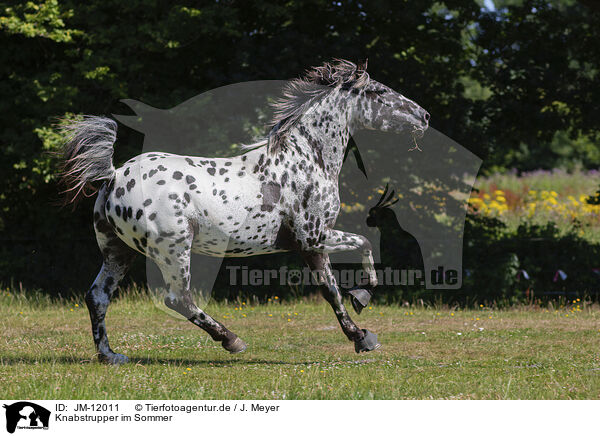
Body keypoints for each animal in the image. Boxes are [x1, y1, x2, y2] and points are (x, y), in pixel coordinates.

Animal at [58, 58, 428, 364]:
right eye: (379, 91)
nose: (424, 116)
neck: (306, 160)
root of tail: (114, 175)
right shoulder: (314, 237)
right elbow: (361, 248)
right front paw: (362, 302)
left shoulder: (311, 247)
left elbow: (331, 291)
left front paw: (361, 335)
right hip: (174, 250)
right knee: (177, 299)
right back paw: (231, 340)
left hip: (118, 251)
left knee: (98, 297)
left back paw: (110, 355)